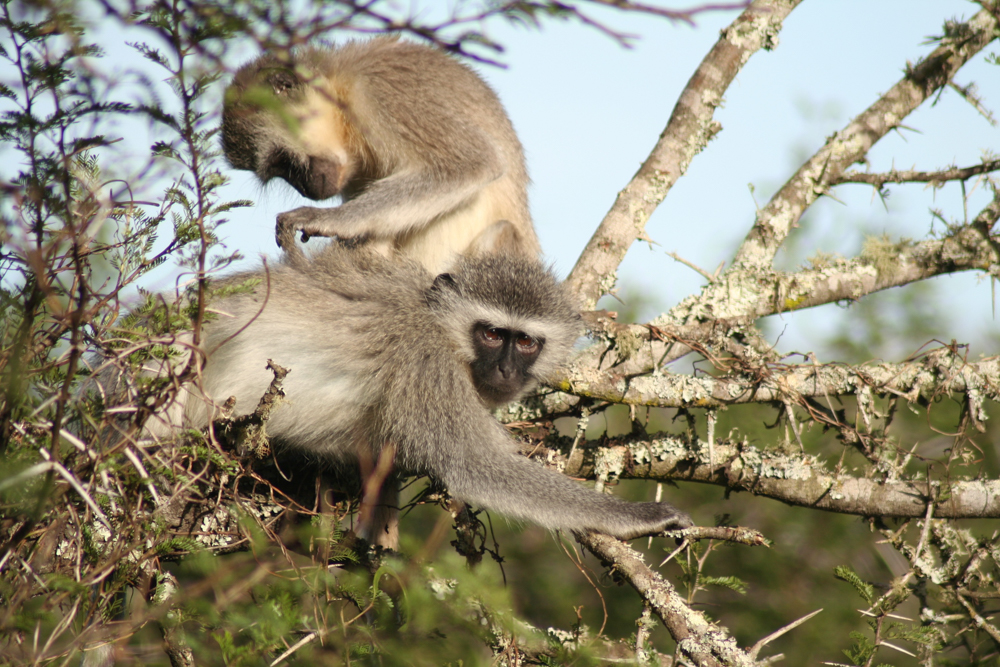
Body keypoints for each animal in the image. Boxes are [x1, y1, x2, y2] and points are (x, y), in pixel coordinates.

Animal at [127, 243, 688, 544]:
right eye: (491, 334)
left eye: (526, 341)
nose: (507, 368)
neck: (442, 328)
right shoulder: (427, 364)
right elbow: (475, 467)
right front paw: (636, 517)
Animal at [224, 37, 544, 274]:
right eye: (279, 172)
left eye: (282, 161)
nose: (307, 189)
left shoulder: (384, 98)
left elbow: (472, 164)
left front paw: (329, 218)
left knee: (500, 230)